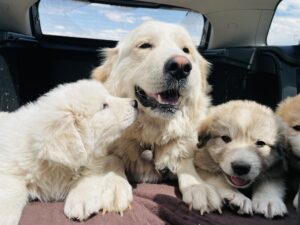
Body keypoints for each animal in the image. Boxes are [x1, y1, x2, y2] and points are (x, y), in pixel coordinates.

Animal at [0, 80, 138, 225]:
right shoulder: (9, 165)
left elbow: (92, 172)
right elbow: (12, 188)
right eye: (104, 106)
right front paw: (4, 215)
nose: (135, 103)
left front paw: (81, 200)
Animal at [91, 20, 220, 214]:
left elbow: (185, 162)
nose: (181, 67)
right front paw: (114, 184)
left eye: (186, 50)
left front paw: (198, 186)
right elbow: (114, 159)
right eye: (145, 45)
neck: (153, 132)